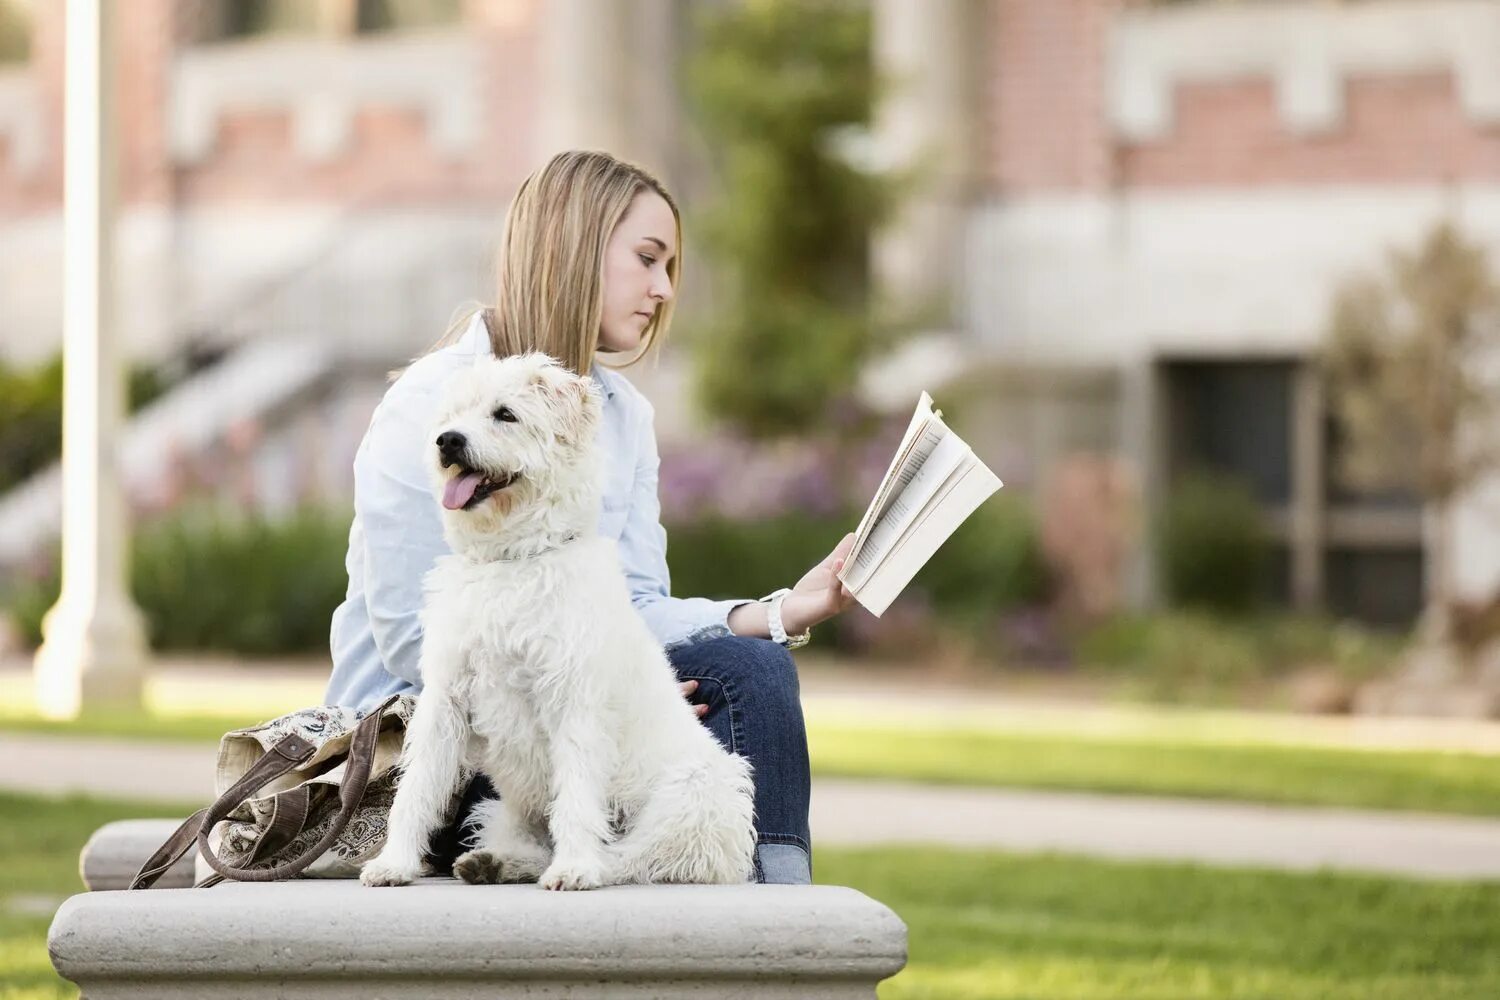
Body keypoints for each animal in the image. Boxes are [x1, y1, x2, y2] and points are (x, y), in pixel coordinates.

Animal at [361, 352, 756, 893]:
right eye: (452, 416)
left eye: (505, 414)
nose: (448, 441)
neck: (512, 561)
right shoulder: (446, 700)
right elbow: (417, 788)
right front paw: (395, 863)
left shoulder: (574, 702)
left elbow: (576, 798)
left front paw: (574, 868)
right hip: (504, 808)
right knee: (536, 841)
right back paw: (495, 863)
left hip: (698, 796)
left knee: (634, 856)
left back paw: (581, 865)